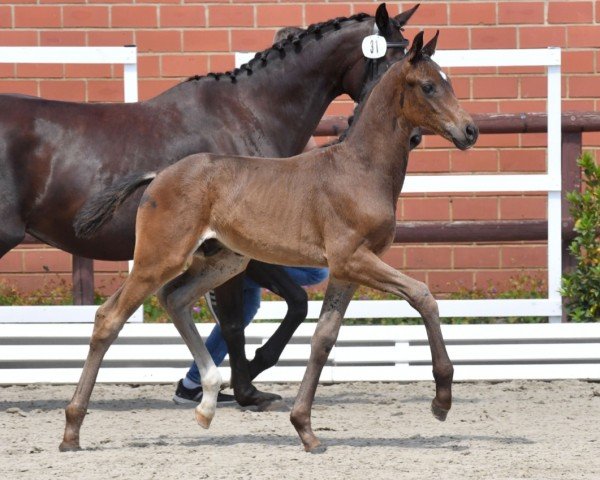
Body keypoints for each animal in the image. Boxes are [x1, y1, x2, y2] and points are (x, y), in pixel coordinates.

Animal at [1, 2, 418, 412]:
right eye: (397, 66)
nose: (413, 136)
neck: (248, 113)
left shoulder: (242, 249)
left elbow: (292, 304)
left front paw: (242, 377)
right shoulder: (241, 245)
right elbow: (239, 321)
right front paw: (247, 387)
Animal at [63, 31, 478, 452]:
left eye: (448, 81)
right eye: (428, 85)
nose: (469, 131)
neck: (360, 169)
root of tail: (158, 174)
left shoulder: (346, 270)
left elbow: (323, 339)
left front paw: (305, 429)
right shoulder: (354, 259)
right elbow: (422, 295)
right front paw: (442, 400)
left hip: (225, 261)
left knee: (175, 299)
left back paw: (207, 404)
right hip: (160, 258)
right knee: (110, 317)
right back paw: (72, 429)